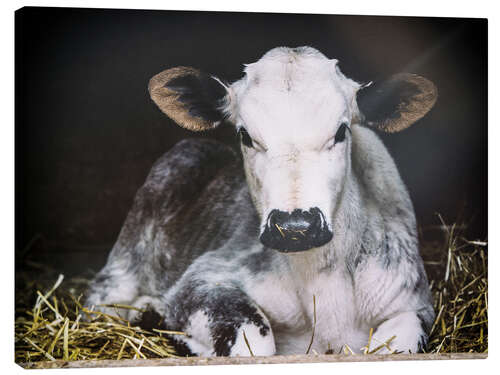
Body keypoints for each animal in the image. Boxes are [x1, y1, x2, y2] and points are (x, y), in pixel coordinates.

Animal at [86, 45, 438, 356]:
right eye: (245, 135)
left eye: (341, 131)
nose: (295, 226)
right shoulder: (204, 278)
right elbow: (255, 343)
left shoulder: (414, 303)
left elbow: (399, 346)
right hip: (129, 250)